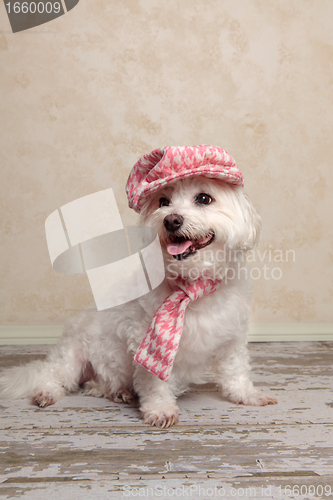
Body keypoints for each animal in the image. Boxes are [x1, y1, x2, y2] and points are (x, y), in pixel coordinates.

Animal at [0, 146, 276, 428]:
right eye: (163, 202)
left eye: (204, 198)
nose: (171, 220)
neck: (192, 287)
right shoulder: (146, 338)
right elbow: (155, 381)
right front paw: (160, 409)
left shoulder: (232, 335)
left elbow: (235, 370)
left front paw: (246, 394)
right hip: (71, 356)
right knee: (54, 375)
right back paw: (46, 392)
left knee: (95, 385)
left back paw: (118, 391)